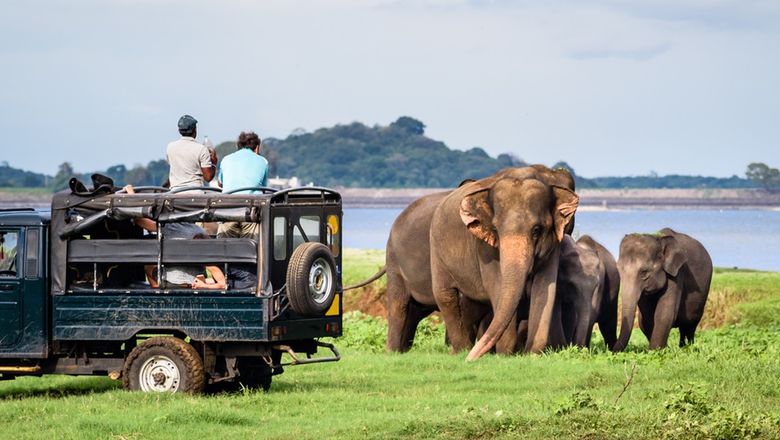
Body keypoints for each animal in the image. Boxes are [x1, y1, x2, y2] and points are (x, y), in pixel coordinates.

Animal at [382, 166, 572, 354]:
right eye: (495, 229)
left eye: (537, 230)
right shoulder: (484, 247)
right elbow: (496, 287)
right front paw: (505, 353)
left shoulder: (554, 244)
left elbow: (546, 288)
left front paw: (531, 352)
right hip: (415, 255)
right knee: (429, 298)